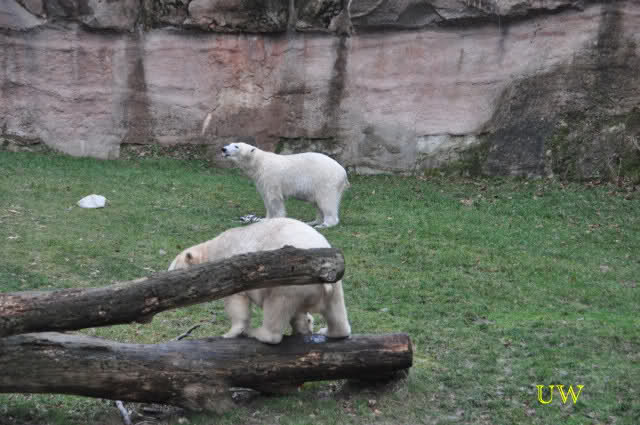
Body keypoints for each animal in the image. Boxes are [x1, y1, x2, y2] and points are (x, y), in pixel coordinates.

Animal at [168, 218, 351, 344]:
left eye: (172, 270)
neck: (212, 250)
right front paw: (305, 325)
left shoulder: (233, 273)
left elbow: (237, 303)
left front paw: (230, 333)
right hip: (334, 280)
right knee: (336, 311)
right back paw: (330, 330)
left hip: (288, 283)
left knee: (276, 309)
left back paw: (258, 333)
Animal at [221, 142, 349, 228]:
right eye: (230, 144)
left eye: (236, 146)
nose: (223, 149)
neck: (259, 163)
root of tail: (343, 172)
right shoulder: (260, 180)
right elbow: (266, 199)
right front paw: (264, 219)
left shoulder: (271, 177)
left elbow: (274, 199)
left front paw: (276, 218)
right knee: (317, 204)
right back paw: (313, 221)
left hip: (326, 182)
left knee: (326, 202)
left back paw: (325, 224)